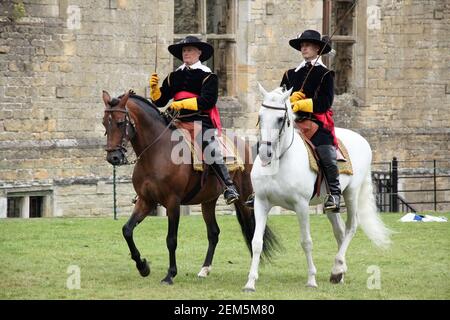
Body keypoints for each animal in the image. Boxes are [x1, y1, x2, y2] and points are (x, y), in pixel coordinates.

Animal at [102, 90, 278, 284]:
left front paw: (170, 274)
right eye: (104, 122)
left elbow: (171, 239)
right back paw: (204, 269)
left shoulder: (173, 203)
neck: (156, 151)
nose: (113, 157)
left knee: (253, 230)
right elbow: (127, 230)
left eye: (120, 122)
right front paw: (143, 266)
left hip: (245, 199)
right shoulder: (146, 201)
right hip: (208, 201)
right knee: (214, 232)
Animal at [243, 85, 390, 292]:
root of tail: (362, 139)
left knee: (351, 227)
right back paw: (340, 271)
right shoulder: (261, 203)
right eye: (260, 116)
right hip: (330, 204)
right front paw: (250, 282)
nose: (265, 154)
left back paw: (337, 268)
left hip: (351, 193)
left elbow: (306, 242)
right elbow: (257, 242)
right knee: (340, 231)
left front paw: (311, 279)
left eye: (280, 119)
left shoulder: (301, 206)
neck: (280, 161)